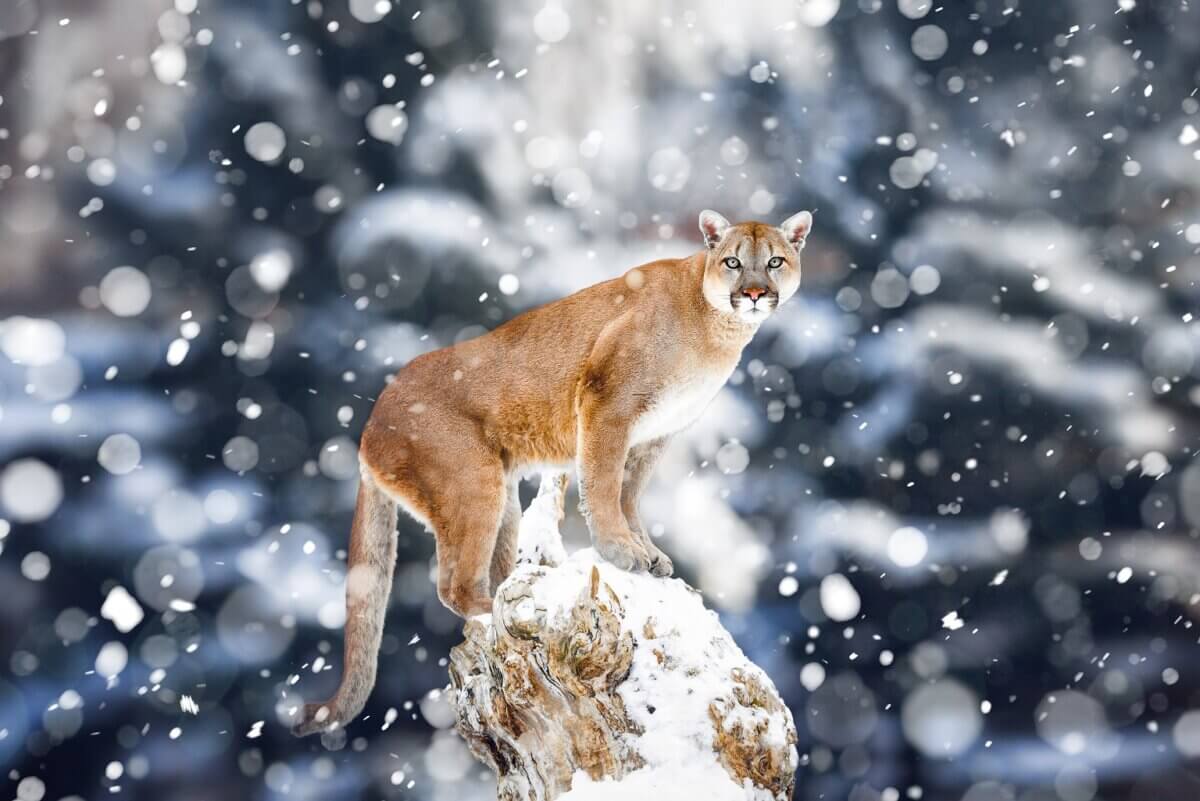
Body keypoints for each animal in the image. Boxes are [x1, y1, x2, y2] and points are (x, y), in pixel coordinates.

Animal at [294, 209, 811, 733]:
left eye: (774, 261)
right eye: (732, 261)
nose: (753, 292)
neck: (715, 325)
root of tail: (370, 422)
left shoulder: (654, 436)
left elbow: (629, 496)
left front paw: (647, 553)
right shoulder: (608, 406)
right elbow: (603, 485)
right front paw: (619, 550)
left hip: (503, 499)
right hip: (473, 483)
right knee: (453, 584)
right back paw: (493, 613)